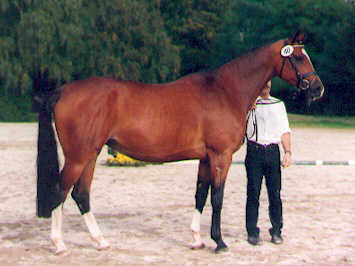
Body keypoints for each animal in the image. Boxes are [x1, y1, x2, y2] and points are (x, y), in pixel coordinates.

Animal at [36, 31, 326, 254]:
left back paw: (100, 241)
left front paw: (197, 239)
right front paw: (219, 242)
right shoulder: (221, 157)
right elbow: (217, 198)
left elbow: (200, 195)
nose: (318, 89)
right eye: (297, 57)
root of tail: (63, 91)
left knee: (80, 194)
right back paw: (59, 244)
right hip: (78, 157)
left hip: (91, 155)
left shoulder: (206, 158)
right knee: (60, 191)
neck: (225, 91)